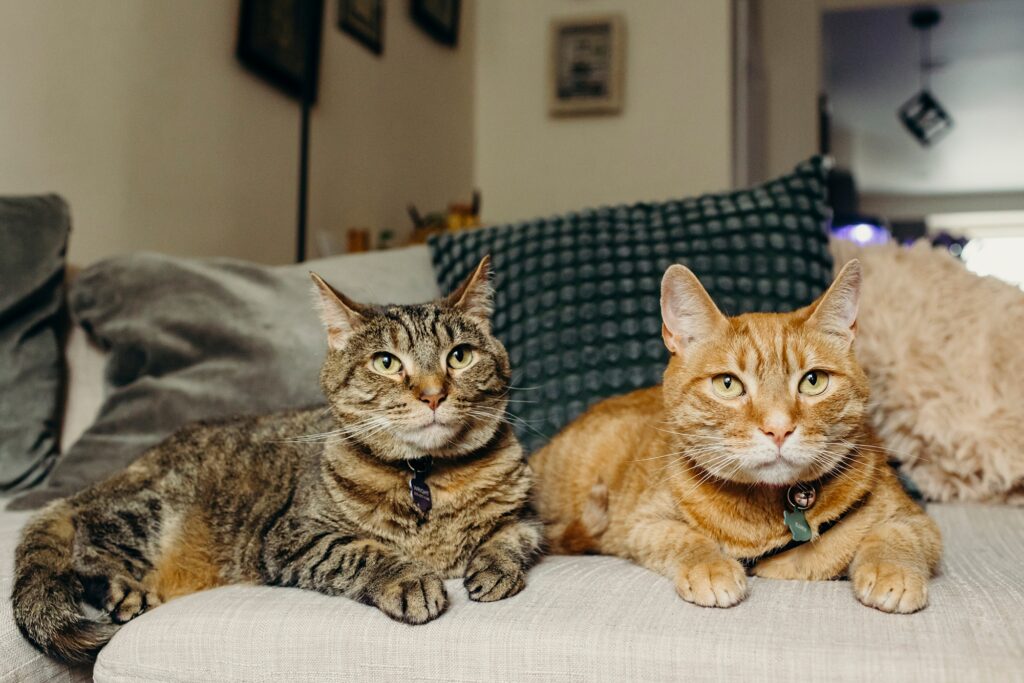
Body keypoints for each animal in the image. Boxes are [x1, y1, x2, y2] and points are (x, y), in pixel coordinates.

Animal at [14, 255, 544, 663]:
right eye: (386, 363)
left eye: (459, 356)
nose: (434, 394)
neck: (428, 477)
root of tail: (111, 477)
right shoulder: (293, 535)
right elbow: (360, 551)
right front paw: (409, 577)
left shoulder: (530, 514)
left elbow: (513, 535)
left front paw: (494, 564)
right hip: (147, 510)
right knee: (86, 549)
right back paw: (125, 589)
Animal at [536, 262, 942, 614]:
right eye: (728, 384)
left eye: (813, 381)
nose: (778, 428)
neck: (769, 516)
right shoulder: (640, 523)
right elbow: (687, 538)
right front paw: (711, 567)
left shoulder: (916, 521)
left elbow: (892, 537)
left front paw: (892, 572)